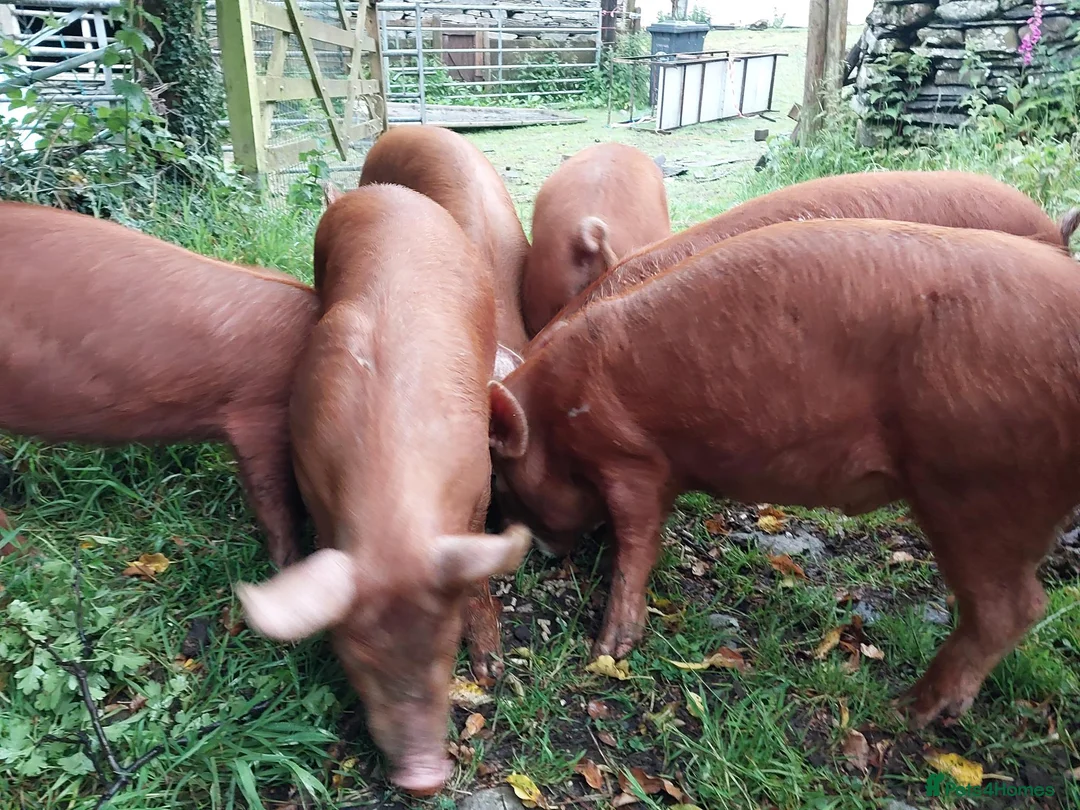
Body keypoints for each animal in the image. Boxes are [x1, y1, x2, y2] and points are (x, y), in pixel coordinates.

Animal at [236, 185, 530, 794]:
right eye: (357, 657)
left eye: (444, 646)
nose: (423, 776)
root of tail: (376, 192)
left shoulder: (479, 486)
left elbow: (475, 574)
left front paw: (490, 670)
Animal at [489, 217, 1080, 730]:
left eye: (501, 481)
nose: (535, 550)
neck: (553, 416)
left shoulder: (630, 459)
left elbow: (637, 543)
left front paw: (607, 651)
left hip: (976, 486)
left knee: (1015, 606)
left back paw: (908, 710)